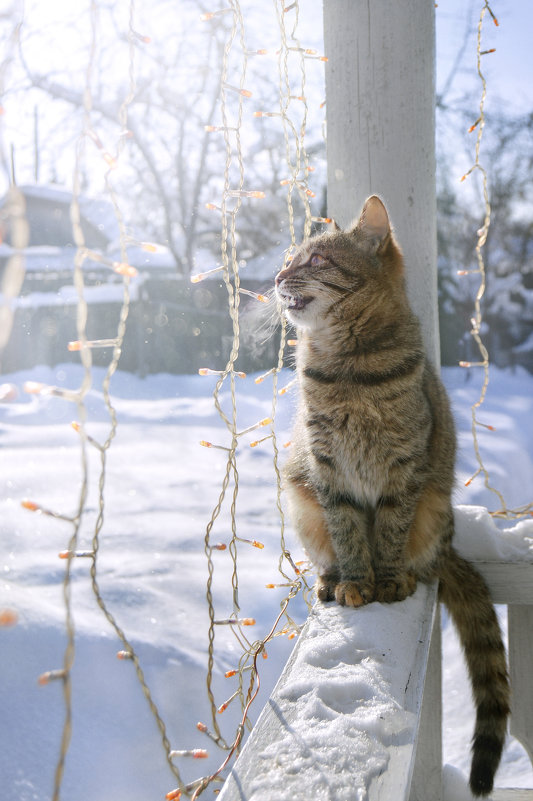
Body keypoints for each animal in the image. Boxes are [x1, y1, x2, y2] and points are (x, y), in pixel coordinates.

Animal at [276, 197, 510, 796]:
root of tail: (449, 547)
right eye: (290, 260)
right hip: (301, 498)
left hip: (433, 511)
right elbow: (348, 533)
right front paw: (356, 582)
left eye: (314, 259)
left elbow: (387, 532)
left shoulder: (402, 476)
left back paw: (403, 575)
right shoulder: (329, 476)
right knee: (329, 552)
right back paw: (332, 578)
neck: (348, 369)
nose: (277, 277)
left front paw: (381, 581)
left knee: (420, 560)